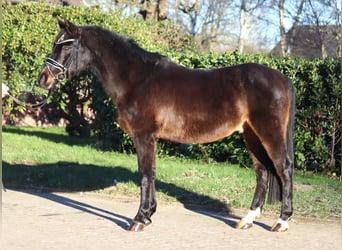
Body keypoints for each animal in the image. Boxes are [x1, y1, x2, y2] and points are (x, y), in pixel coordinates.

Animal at [36, 19, 294, 232]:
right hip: (251, 134)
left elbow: (145, 174)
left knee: (284, 168)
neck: (137, 80)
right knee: (262, 171)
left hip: (268, 132)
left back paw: (281, 221)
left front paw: (140, 219)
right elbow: (150, 173)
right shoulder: (150, 138)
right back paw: (247, 220)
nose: (43, 79)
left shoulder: (144, 136)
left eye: (66, 46)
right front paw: (148, 214)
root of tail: (282, 78)